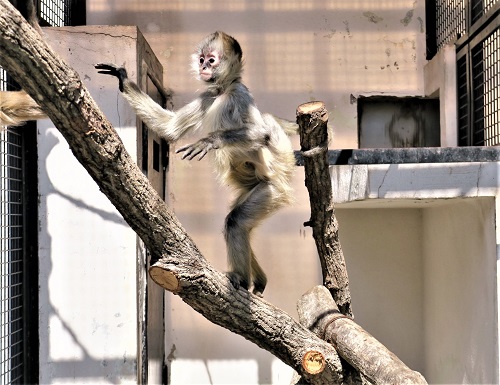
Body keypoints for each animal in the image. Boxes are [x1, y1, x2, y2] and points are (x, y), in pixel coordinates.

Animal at [0, 31, 296, 296]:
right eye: (202, 59)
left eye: (211, 61)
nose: (203, 68)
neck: (222, 88)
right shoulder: (209, 95)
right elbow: (171, 129)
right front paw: (123, 79)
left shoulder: (238, 92)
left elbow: (262, 133)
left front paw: (211, 140)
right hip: (254, 190)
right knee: (238, 222)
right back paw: (258, 280)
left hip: (270, 190)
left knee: (235, 221)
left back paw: (241, 279)